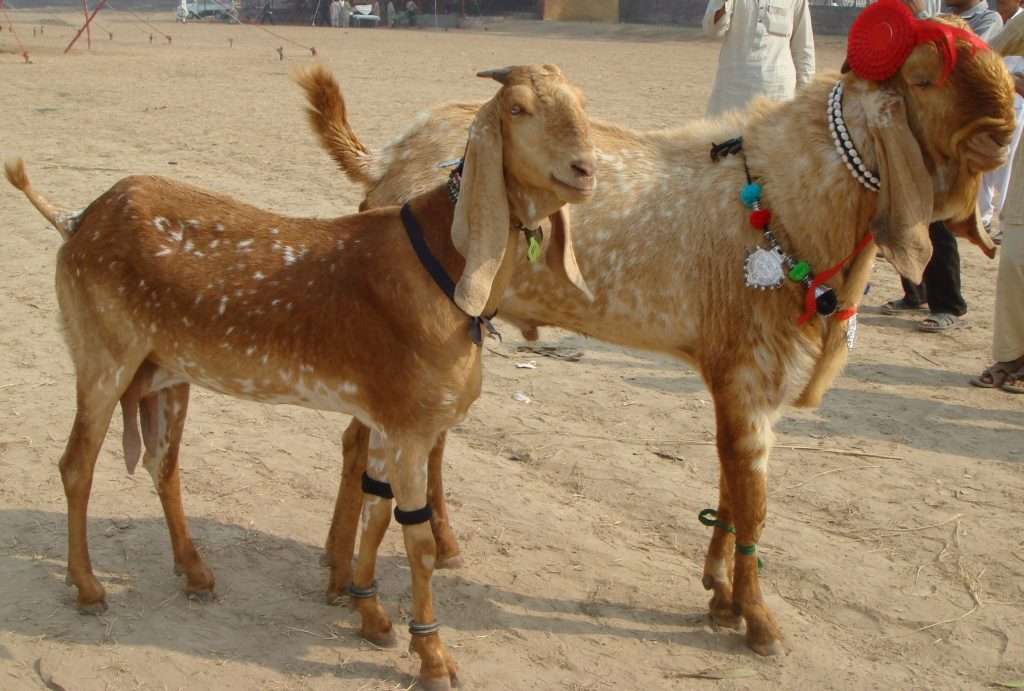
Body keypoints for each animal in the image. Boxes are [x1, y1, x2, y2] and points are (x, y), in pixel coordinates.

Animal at [6, 64, 596, 690]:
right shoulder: (411, 428)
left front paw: (370, 614)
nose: (585, 170)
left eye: (582, 104)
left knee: (163, 465)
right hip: (103, 358)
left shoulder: (388, 421)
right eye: (518, 109)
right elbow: (415, 540)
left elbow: (376, 512)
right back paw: (89, 587)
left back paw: (196, 573)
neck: (443, 264)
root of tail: (78, 220)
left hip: (165, 374)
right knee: (77, 465)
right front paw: (432, 656)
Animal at [301, 27, 1016, 657]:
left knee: (422, 443)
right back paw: (341, 577)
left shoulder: (736, 374)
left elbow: (731, 482)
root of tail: (393, 154)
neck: (783, 192)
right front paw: (759, 623)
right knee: (361, 441)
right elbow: (754, 500)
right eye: (925, 77)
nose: (1003, 132)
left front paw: (721, 597)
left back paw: (434, 550)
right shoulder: (750, 369)